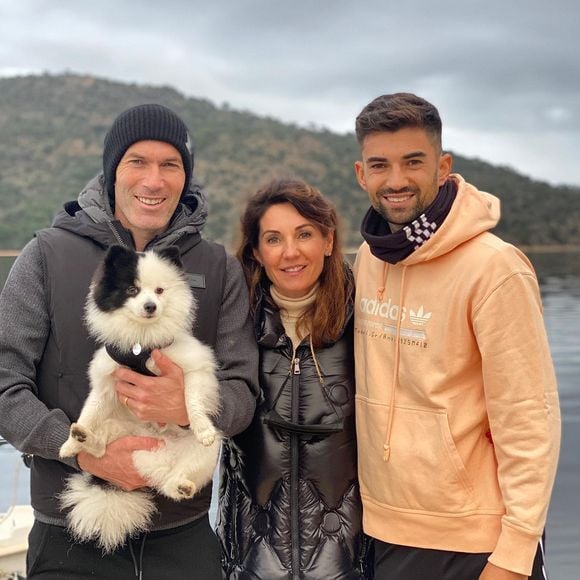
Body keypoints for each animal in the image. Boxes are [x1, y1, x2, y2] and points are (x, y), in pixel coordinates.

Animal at [59, 245, 222, 552]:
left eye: (159, 291)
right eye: (132, 290)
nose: (150, 306)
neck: (141, 344)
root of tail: (159, 458)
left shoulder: (194, 368)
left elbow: (192, 400)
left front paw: (202, 428)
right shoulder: (106, 381)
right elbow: (91, 409)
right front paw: (68, 444)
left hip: (204, 455)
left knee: (174, 483)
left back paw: (183, 485)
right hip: (119, 432)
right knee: (100, 447)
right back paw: (83, 438)